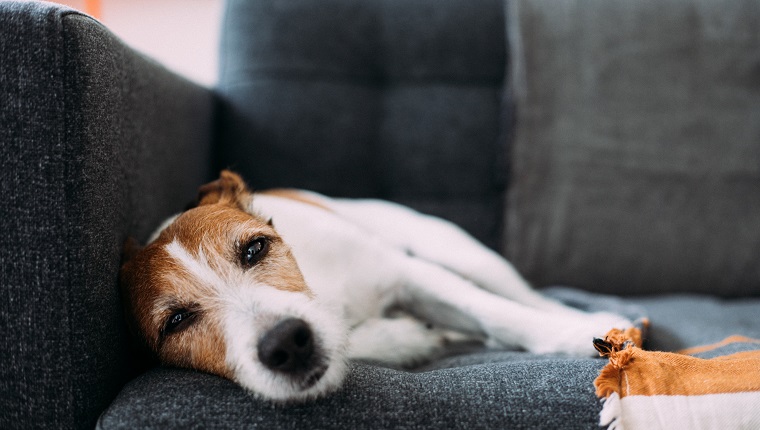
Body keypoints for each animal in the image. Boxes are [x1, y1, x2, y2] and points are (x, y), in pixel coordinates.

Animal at [117, 170, 628, 404]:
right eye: (176, 321)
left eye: (254, 249)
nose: (286, 343)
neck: (321, 287)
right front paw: (407, 337)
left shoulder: (409, 274)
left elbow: (495, 312)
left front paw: (573, 337)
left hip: (462, 252)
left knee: (522, 296)